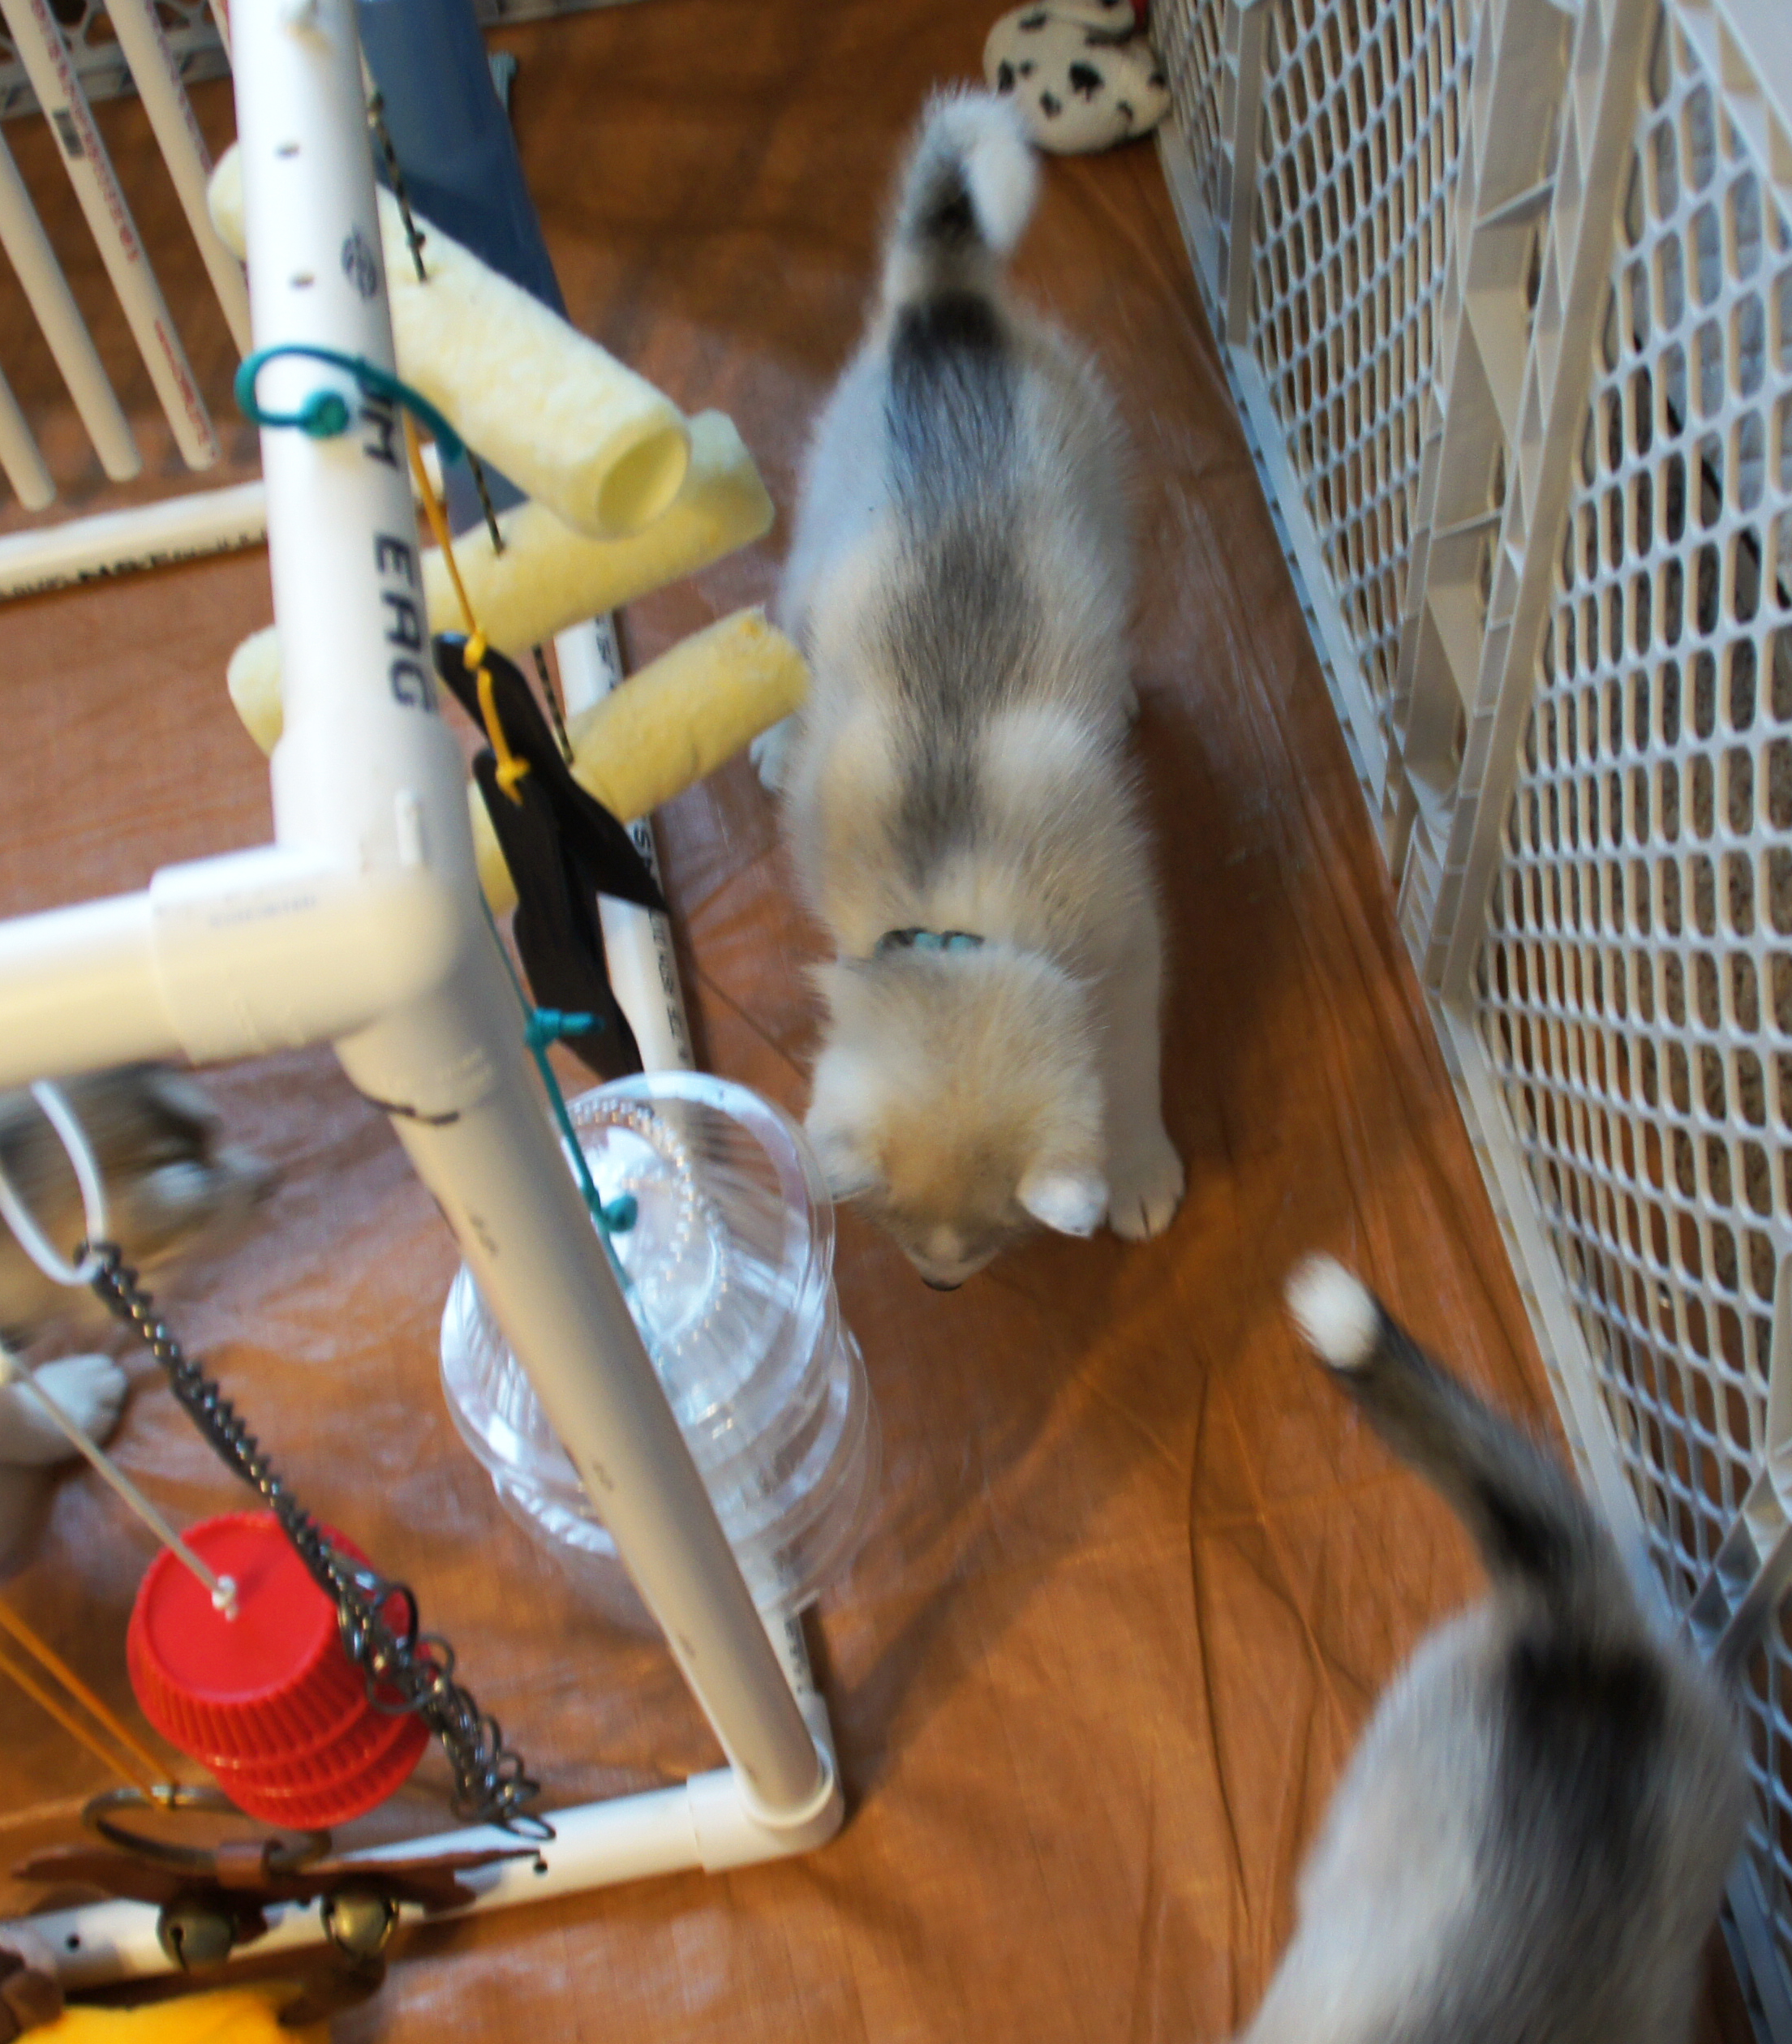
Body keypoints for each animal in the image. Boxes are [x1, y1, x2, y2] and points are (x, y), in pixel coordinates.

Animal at [758, 90, 1183, 1286]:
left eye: (995, 1239)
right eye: (902, 1233)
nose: (941, 1284)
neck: (957, 908)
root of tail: (944, 304)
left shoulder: (1132, 951)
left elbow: (1130, 1068)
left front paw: (1136, 1168)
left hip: (1106, 510)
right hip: (816, 536)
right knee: (791, 617)